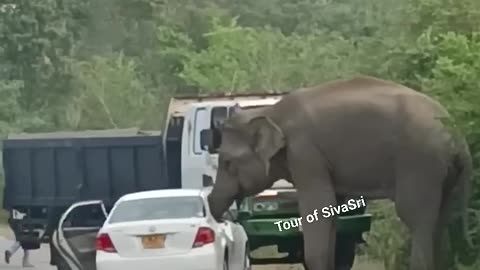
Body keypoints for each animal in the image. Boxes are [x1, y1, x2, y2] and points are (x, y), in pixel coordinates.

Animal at [206, 76, 472, 270]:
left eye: (227, 162)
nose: (214, 208)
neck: (271, 112)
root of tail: (457, 137)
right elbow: (331, 211)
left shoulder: (306, 154)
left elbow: (319, 207)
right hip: (446, 173)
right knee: (441, 217)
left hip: (420, 162)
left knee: (417, 217)